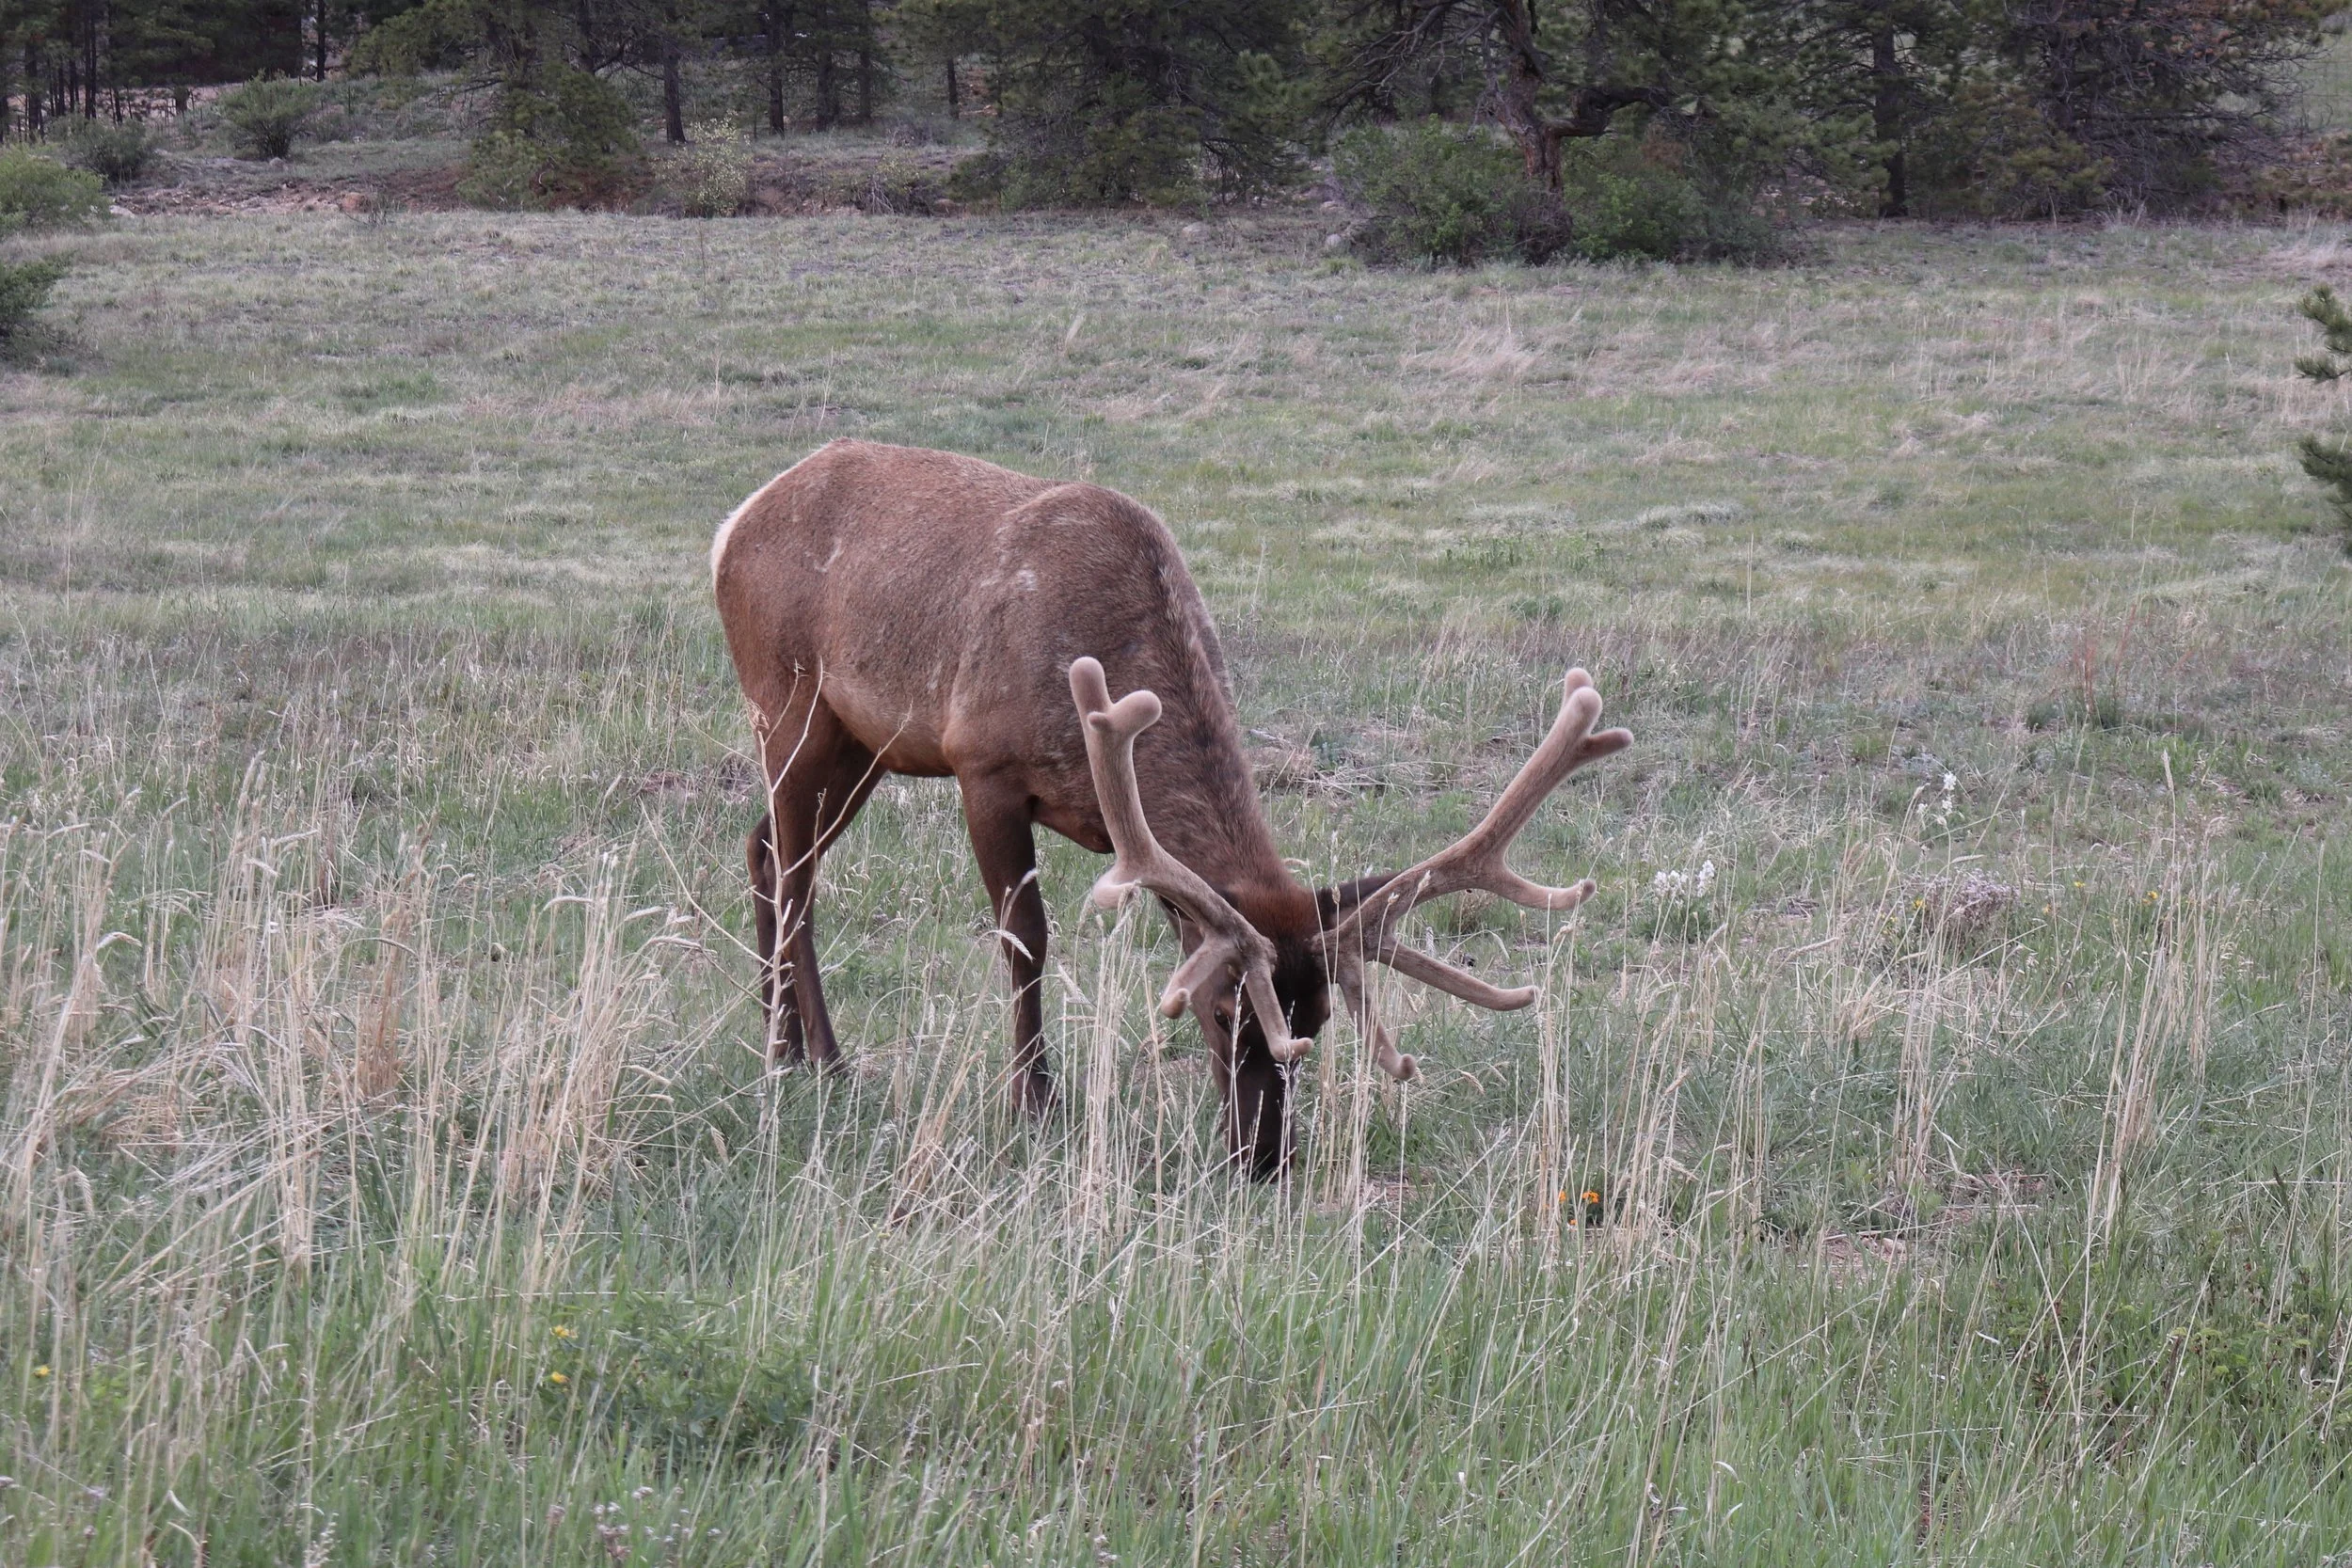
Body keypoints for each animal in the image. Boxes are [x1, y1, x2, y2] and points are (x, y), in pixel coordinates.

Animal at [711, 439, 1631, 1176]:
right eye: (1223, 1011)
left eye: (1320, 1018)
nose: (1263, 1156)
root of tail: (733, 522)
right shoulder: (983, 764)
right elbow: (1025, 938)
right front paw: (1033, 1102)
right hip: (787, 700)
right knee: (794, 871)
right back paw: (802, 1055)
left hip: (862, 743)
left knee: (766, 849)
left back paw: (796, 1044)